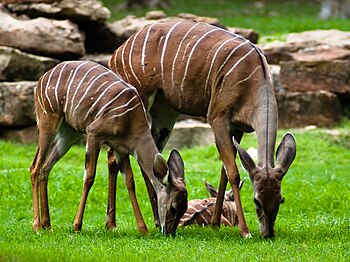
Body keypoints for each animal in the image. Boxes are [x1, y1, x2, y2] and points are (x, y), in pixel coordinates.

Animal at [29, 60, 189, 234]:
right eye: (173, 207)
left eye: (185, 208)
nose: (169, 233)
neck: (131, 121)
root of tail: (40, 80)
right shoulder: (94, 133)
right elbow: (89, 176)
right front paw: (77, 226)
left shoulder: (121, 148)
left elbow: (130, 181)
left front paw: (143, 229)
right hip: (47, 119)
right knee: (35, 166)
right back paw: (37, 225)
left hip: (68, 134)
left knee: (46, 167)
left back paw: (47, 224)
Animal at [108, 20, 296, 237]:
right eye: (256, 200)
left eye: (281, 199)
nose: (268, 234)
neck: (254, 78)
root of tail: (116, 54)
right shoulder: (217, 118)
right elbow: (233, 172)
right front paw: (244, 231)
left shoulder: (237, 128)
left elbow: (225, 170)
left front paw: (215, 222)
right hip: (138, 103)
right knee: (113, 157)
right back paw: (113, 224)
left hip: (165, 113)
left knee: (151, 159)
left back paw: (155, 221)